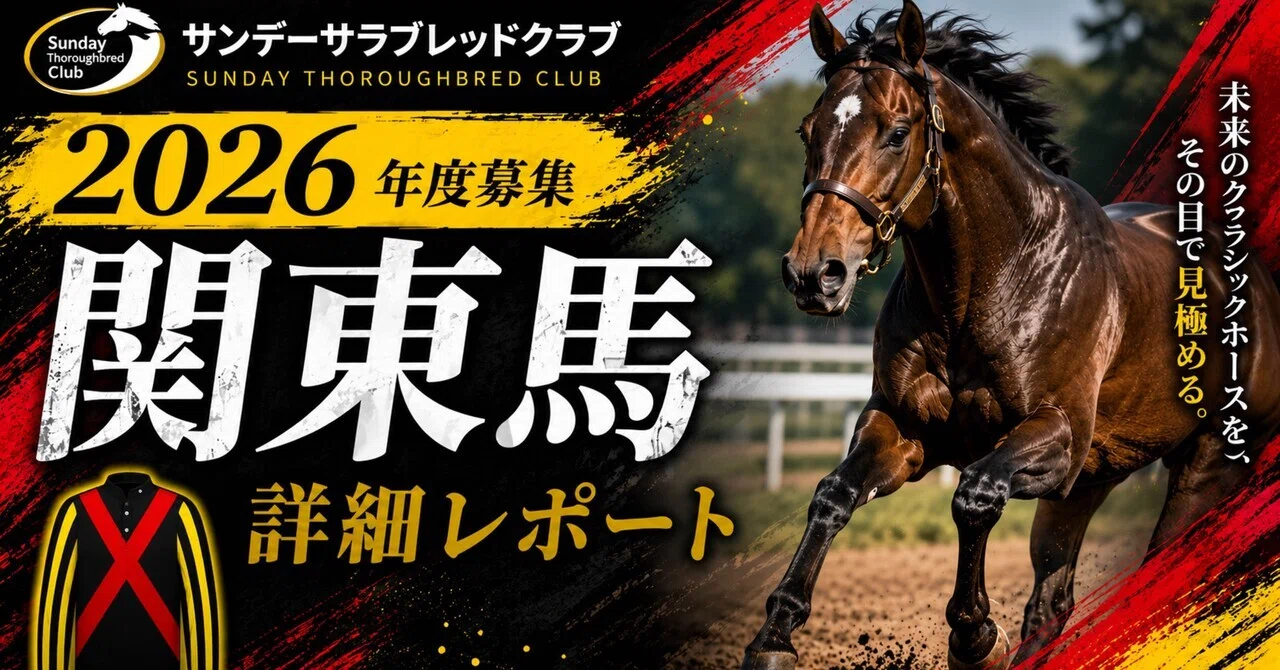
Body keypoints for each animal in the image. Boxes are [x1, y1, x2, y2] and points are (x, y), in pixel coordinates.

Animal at [742, 3, 1280, 669]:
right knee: (1050, 603)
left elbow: (974, 496)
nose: (815, 274)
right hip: (1093, 479)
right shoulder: (905, 426)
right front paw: (774, 636)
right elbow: (833, 493)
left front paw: (975, 635)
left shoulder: (1056, 437)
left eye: (897, 132)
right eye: (807, 131)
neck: (985, 285)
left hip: (1206, 469)